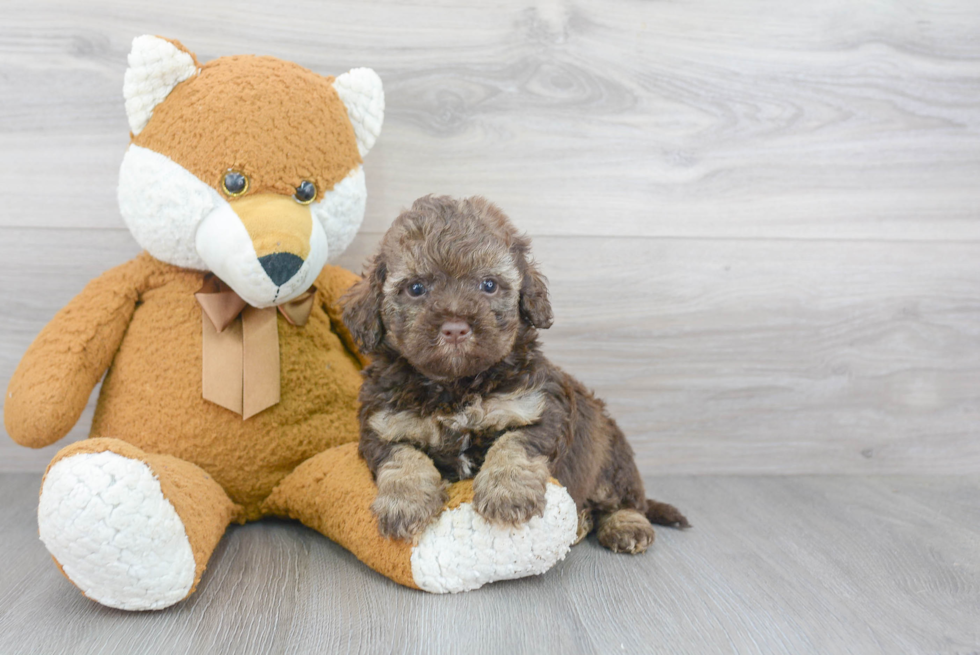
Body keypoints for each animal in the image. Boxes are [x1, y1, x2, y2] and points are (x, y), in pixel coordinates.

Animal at [344, 196, 688, 552]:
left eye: (489, 285)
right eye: (415, 288)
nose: (455, 328)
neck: (455, 386)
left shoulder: (539, 409)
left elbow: (514, 444)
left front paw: (506, 493)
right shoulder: (383, 425)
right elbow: (402, 457)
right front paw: (405, 502)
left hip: (610, 458)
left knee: (623, 499)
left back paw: (625, 525)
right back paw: (582, 524)